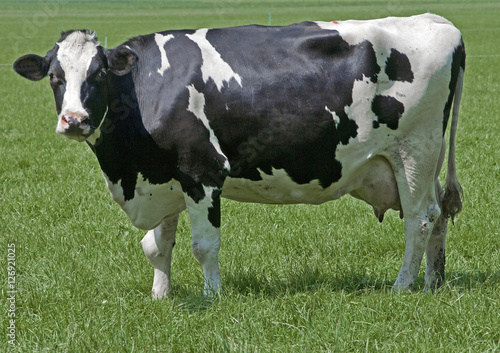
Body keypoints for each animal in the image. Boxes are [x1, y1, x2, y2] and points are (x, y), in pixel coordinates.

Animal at [12, 12, 464, 296]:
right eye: (54, 77)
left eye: (99, 74)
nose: (74, 120)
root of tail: (434, 21)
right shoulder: (164, 177)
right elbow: (157, 246)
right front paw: (161, 295)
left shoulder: (202, 171)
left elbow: (204, 245)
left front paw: (212, 296)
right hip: (422, 160)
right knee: (440, 213)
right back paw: (432, 282)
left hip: (414, 152)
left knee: (421, 220)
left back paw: (402, 286)